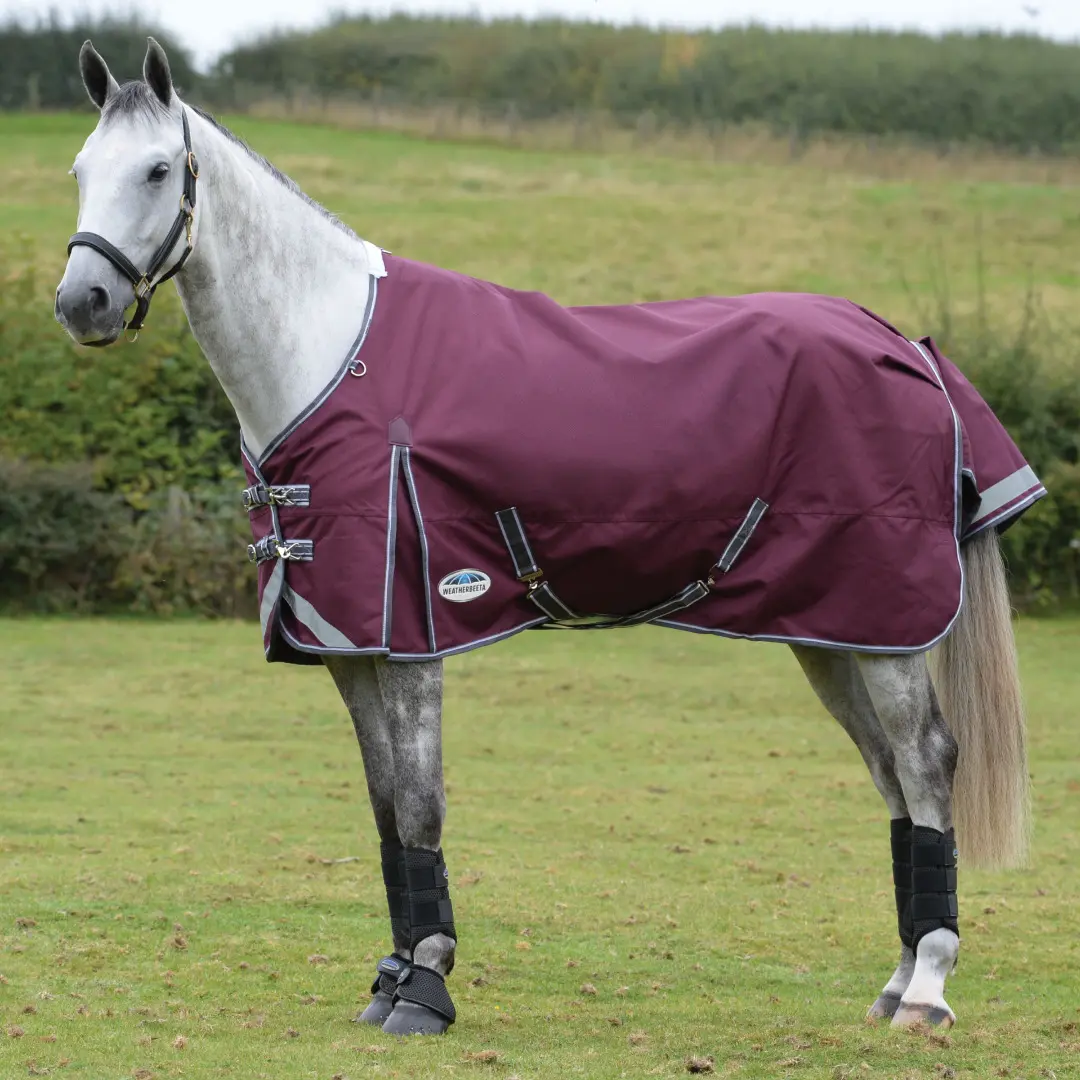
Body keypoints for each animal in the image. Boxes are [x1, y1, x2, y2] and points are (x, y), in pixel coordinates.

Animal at [55, 38, 1044, 1037]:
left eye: (159, 169)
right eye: (79, 172)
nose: (82, 302)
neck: (331, 356)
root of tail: (904, 344)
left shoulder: (411, 635)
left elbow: (421, 804)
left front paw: (426, 989)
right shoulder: (350, 644)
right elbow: (384, 809)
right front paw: (390, 980)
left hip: (886, 624)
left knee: (925, 761)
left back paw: (928, 991)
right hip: (833, 627)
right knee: (892, 775)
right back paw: (896, 981)